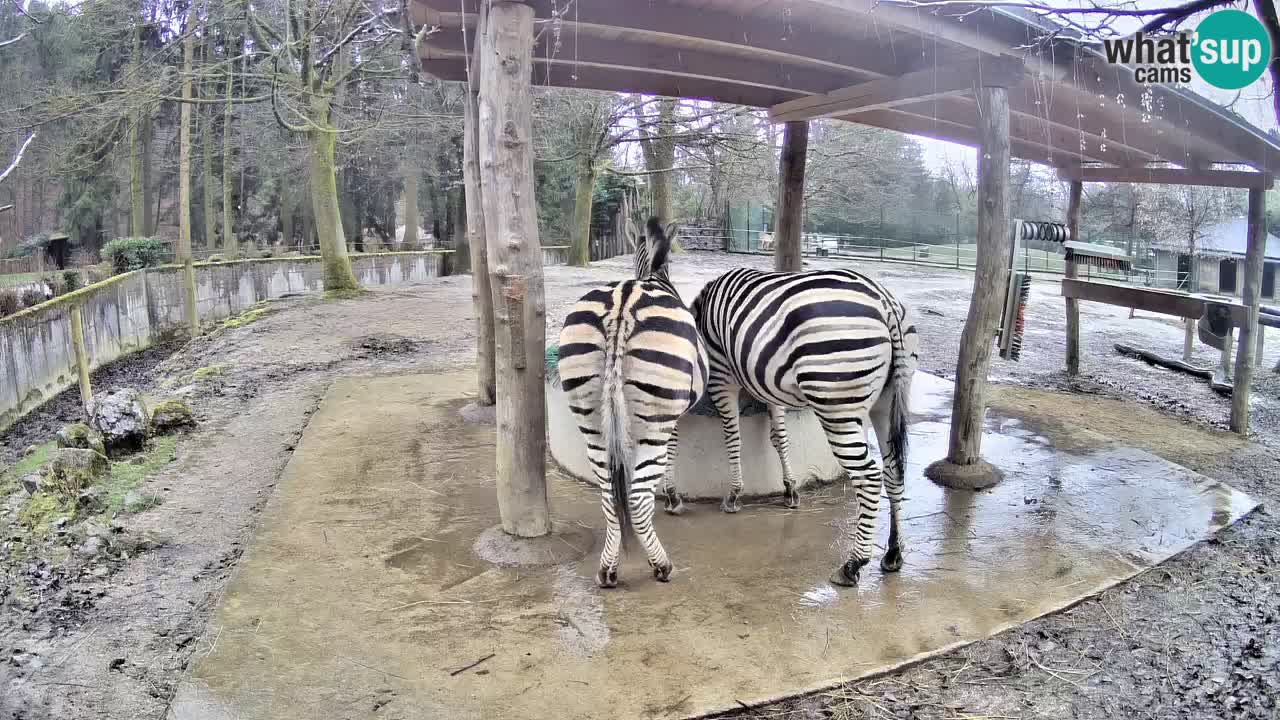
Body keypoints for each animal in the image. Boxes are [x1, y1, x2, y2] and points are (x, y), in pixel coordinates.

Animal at [555, 215, 711, 586]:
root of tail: (621, 307)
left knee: (609, 494)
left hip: (591, 418)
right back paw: (661, 566)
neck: (652, 276)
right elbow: (670, 455)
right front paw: (672, 498)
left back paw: (607, 569)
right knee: (638, 499)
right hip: (654, 419)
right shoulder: (672, 417)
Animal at [691, 266, 921, 586]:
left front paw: (735, 494)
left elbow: (733, 436)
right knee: (893, 471)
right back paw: (893, 553)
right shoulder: (767, 381)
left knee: (869, 477)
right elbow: (779, 436)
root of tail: (884, 301)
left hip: (836, 403)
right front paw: (789, 489)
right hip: (890, 399)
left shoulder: (722, 376)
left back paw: (853, 564)